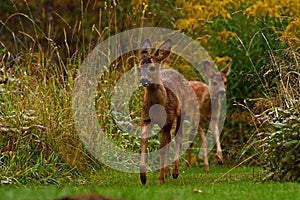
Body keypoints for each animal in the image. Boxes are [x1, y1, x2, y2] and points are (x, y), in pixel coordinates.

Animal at [138, 39, 197, 184]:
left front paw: (160, 180)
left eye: (152, 68)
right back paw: (167, 172)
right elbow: (144, 142)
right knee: (170, 138)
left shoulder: (168, 119)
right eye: (139, 68)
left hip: (181, 113)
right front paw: (143, 177)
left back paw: (174, 172)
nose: (143, 80)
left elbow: (162, 149)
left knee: (178, 137)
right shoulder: (145, 118)